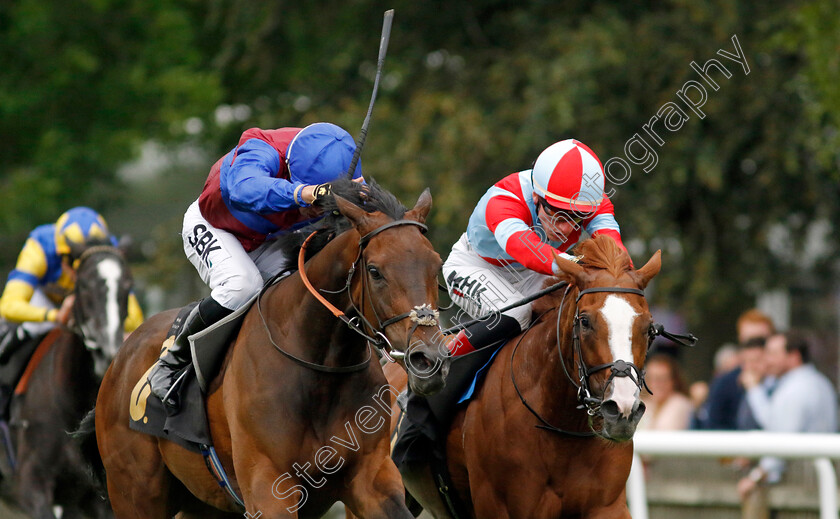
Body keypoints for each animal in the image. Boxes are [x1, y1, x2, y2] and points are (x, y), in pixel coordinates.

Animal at [94, 181, 452, 516]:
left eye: (436, 265)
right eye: (375, 271)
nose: (429, 360)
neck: (319, 368)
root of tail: (120, 359)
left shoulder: (372, 479)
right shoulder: (269, 489)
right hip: (136, 494)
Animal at [358, 237, 660, 519]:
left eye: (648, 327)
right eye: (585, 321)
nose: (622, 409)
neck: (561, 428)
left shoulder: (607, 506)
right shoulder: (501, 506)